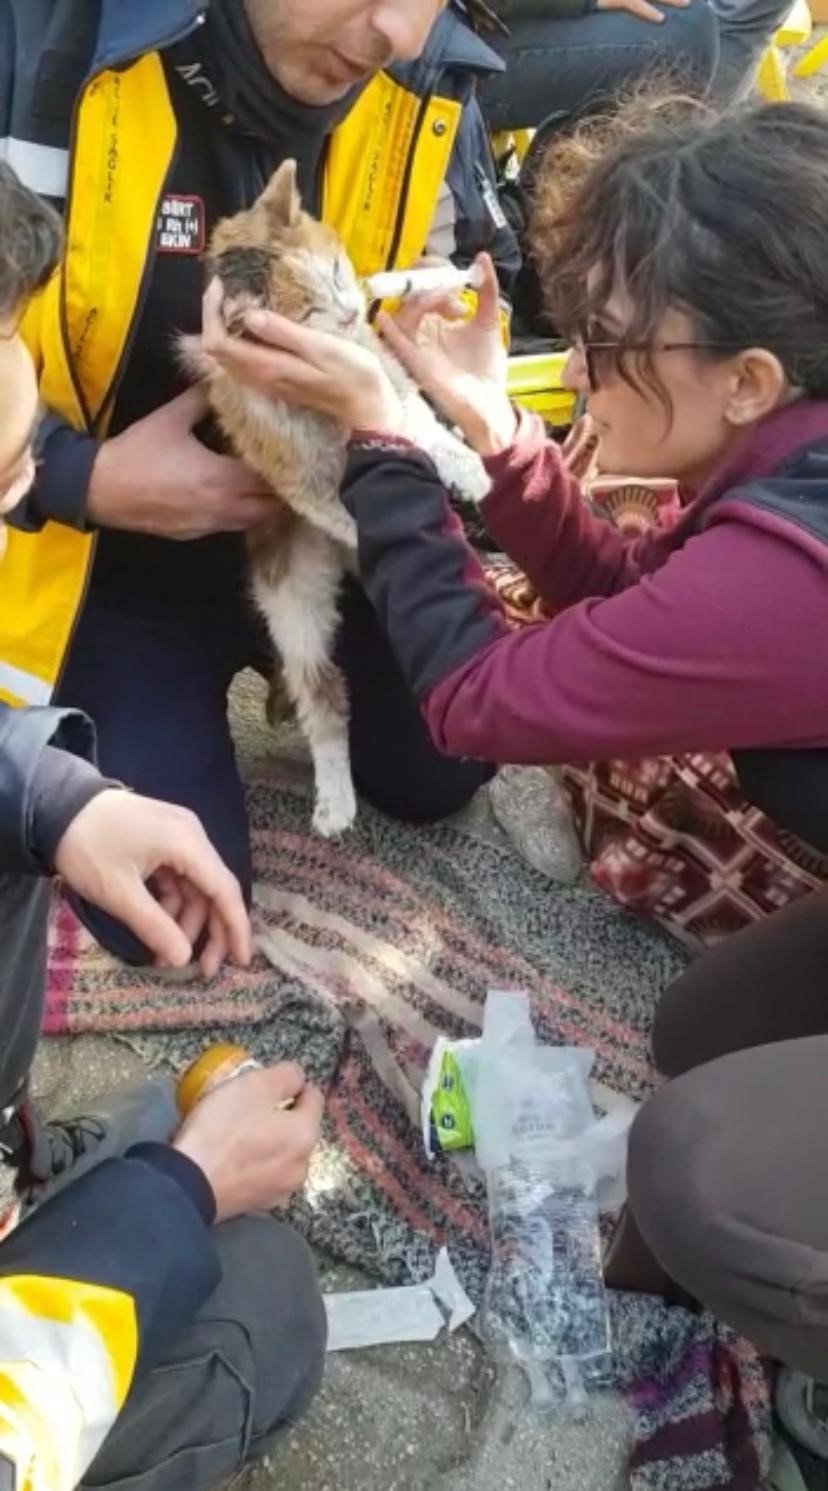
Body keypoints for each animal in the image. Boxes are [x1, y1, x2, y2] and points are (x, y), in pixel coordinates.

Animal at [182, 161, 489, 840]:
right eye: (311, 308)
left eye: (338, 271)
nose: (350, 312)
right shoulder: (277, 449)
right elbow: (324, 492)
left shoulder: (384, 367)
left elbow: (413, 416)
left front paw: (464, 466)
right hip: (293, 604)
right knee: (324, 696)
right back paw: (336, 800)